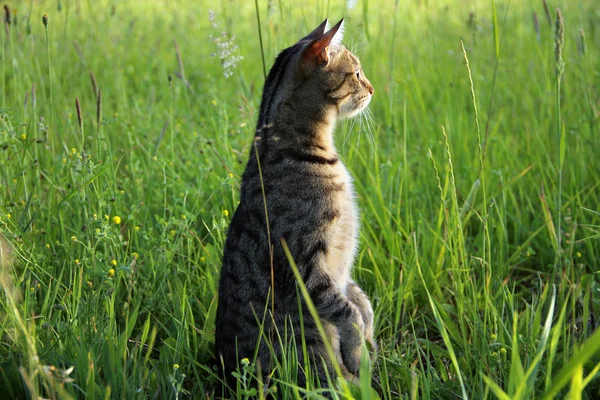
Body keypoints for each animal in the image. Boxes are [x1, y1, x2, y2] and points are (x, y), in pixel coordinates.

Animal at [214, 18, 376, 390]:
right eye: (356, 73)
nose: (373, 88)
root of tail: (226, 375)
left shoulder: (338, 269)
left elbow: (357, 297)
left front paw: (367, 328)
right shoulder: (304, 265)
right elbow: (345, 309)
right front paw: (357, 350)